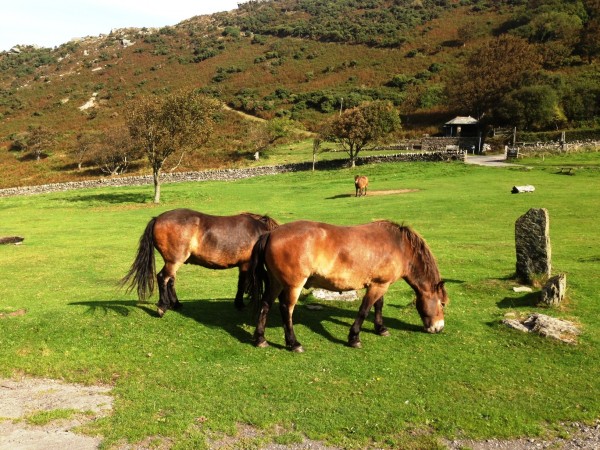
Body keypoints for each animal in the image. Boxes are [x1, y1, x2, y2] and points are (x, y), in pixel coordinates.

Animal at [122, 208, 282, 316]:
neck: (258, 232)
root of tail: (157, 218)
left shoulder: (244, 265)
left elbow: (242, 283)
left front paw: (239, 303)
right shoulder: (246, 264)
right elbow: (244, 284)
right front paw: (240, 304)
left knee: (170, 280)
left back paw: (176, 304)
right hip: (174, 261)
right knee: (163, 278)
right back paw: (162, 307)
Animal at [246, 220, 448, 354]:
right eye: (443, 304)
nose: (439, 328)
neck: (399, 245)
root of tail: (271, 233)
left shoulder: (380, 283)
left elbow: (378, 305)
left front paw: (380, 328)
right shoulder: (377, 286)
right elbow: (364, 310)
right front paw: (354, 338)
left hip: (276, 282)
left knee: (266, 304)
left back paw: (260, 338)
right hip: (293, 285)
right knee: (286, 309)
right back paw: (293, 343)